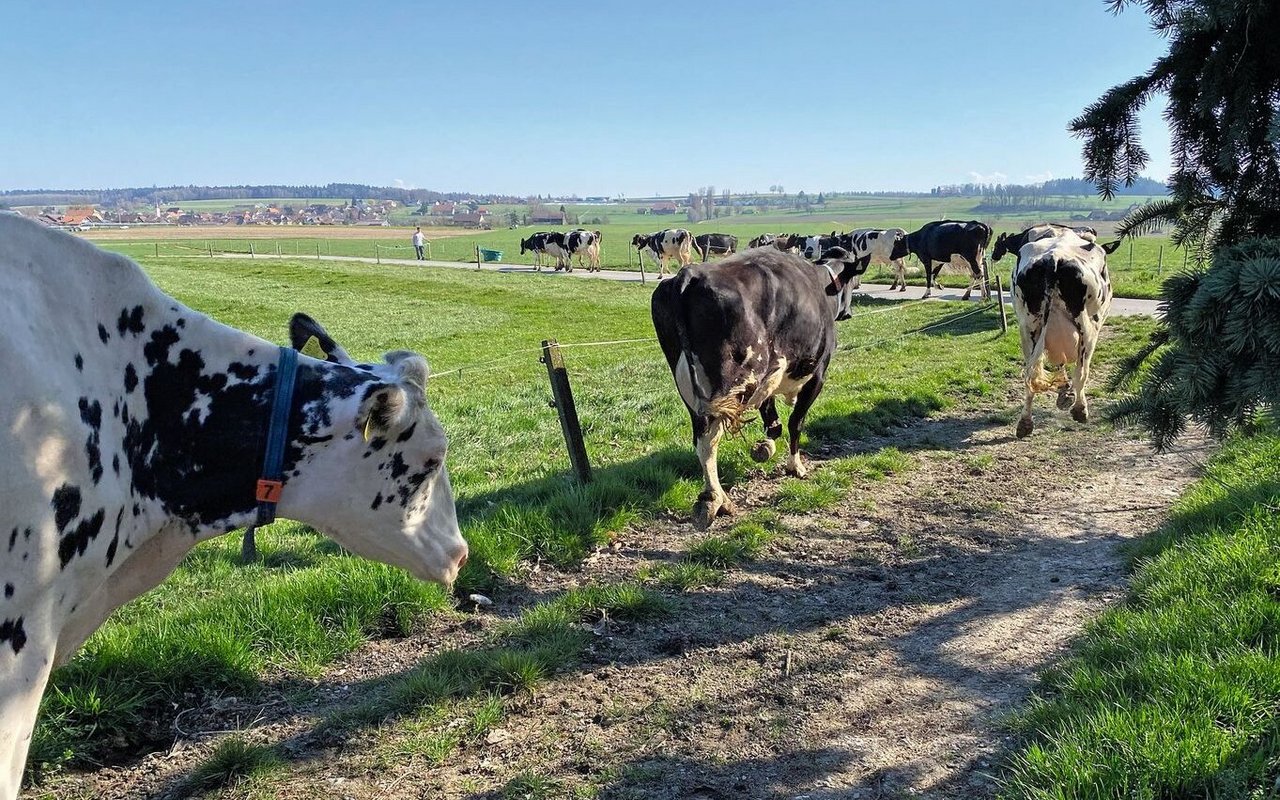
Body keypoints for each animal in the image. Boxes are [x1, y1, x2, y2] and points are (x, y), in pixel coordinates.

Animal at [650, 243, 870, 529]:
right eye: (854, 282)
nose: (849, 313)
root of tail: (689, 274)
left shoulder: (771, 377)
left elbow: (772, 421)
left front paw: (764, 448)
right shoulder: (818, 375)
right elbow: (795, 422)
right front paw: (795, 466)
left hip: (691, 389)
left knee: (701, 438)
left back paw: (719, 498)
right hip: (739, 380)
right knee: (711, 438)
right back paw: (714, 500)